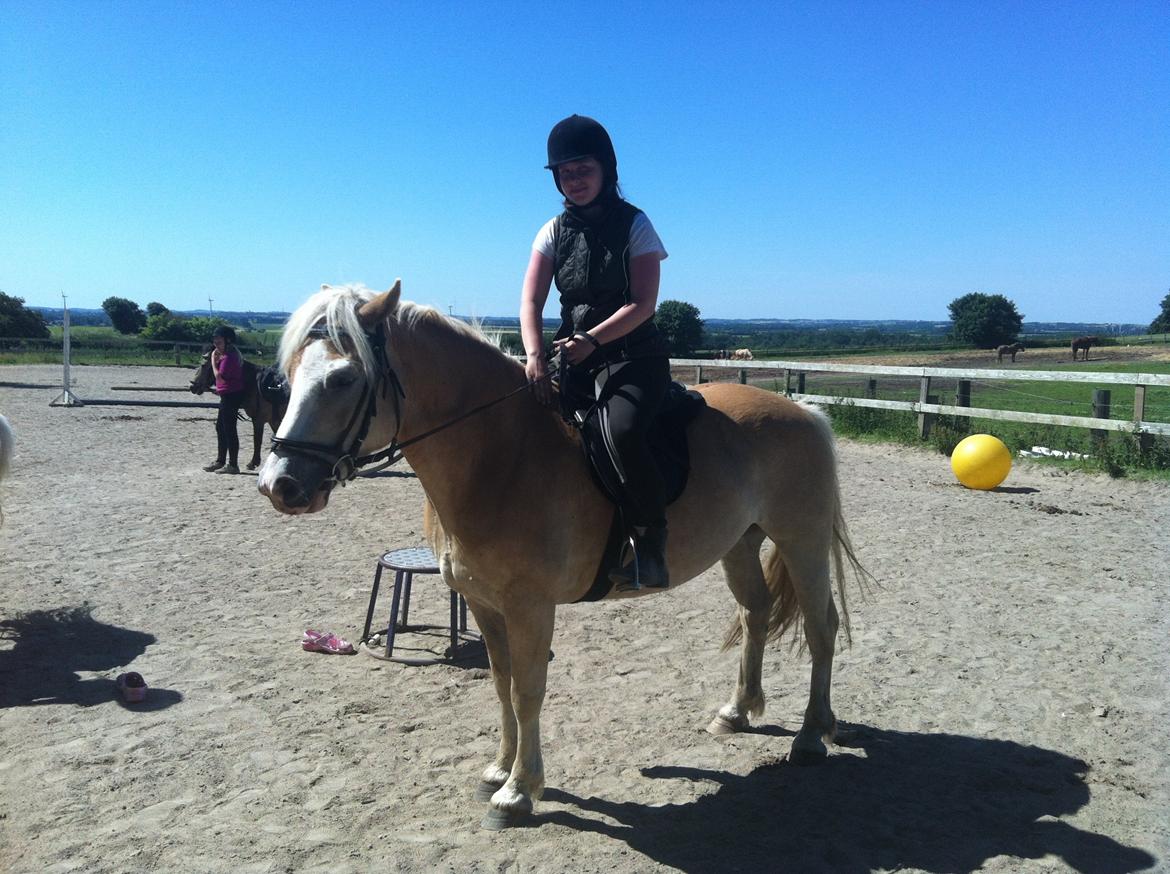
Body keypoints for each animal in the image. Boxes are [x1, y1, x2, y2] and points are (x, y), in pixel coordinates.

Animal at [260, 284, 875, 833]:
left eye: (342, 379)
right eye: (287, 377)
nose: (280, 485)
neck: (500, 455)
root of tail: (804, 413)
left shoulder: (530, 607)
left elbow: (527, 690)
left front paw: (517, 793)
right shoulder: (484, 603)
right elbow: (501, 682)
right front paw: (498, 770)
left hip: (801, 540)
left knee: (821, 628)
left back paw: (811, 737)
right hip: (739, 544)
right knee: (756, 614)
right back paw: (738, 712)